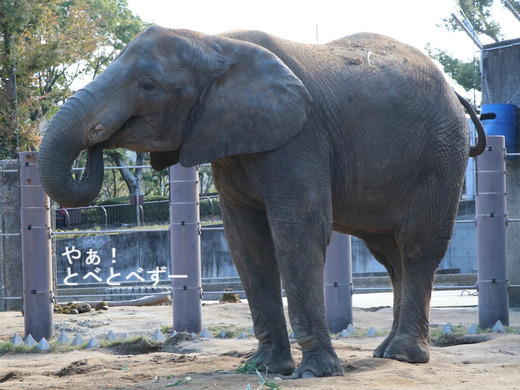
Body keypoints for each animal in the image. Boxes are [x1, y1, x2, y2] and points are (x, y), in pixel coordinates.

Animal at [37, 26, 488, 378]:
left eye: (148, 86)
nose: (99, 143)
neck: (214, 43)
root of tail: (455, 94)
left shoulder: (300, 137)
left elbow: (297, 230)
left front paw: (314, 373)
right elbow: (245, 242)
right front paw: (266, 369)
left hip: (440, 153)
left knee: (416, 245)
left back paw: (405, 356)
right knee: (389, 255)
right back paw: (386, 352)